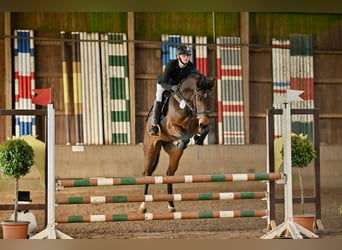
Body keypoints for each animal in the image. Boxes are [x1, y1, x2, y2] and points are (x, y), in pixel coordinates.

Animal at [138, 72, 214, 213]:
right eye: (199, 98)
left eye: (210, 99)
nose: (204, 121)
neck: (187, 105)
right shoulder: (172, 126)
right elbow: (184, 135)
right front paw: (185, 141)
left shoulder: (196, 125)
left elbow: (206, 129)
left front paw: (199, 139)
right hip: (150, 149)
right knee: (148, 173)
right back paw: (143, 205)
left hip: (172, 152)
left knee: (169, 173)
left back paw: (171, 205)